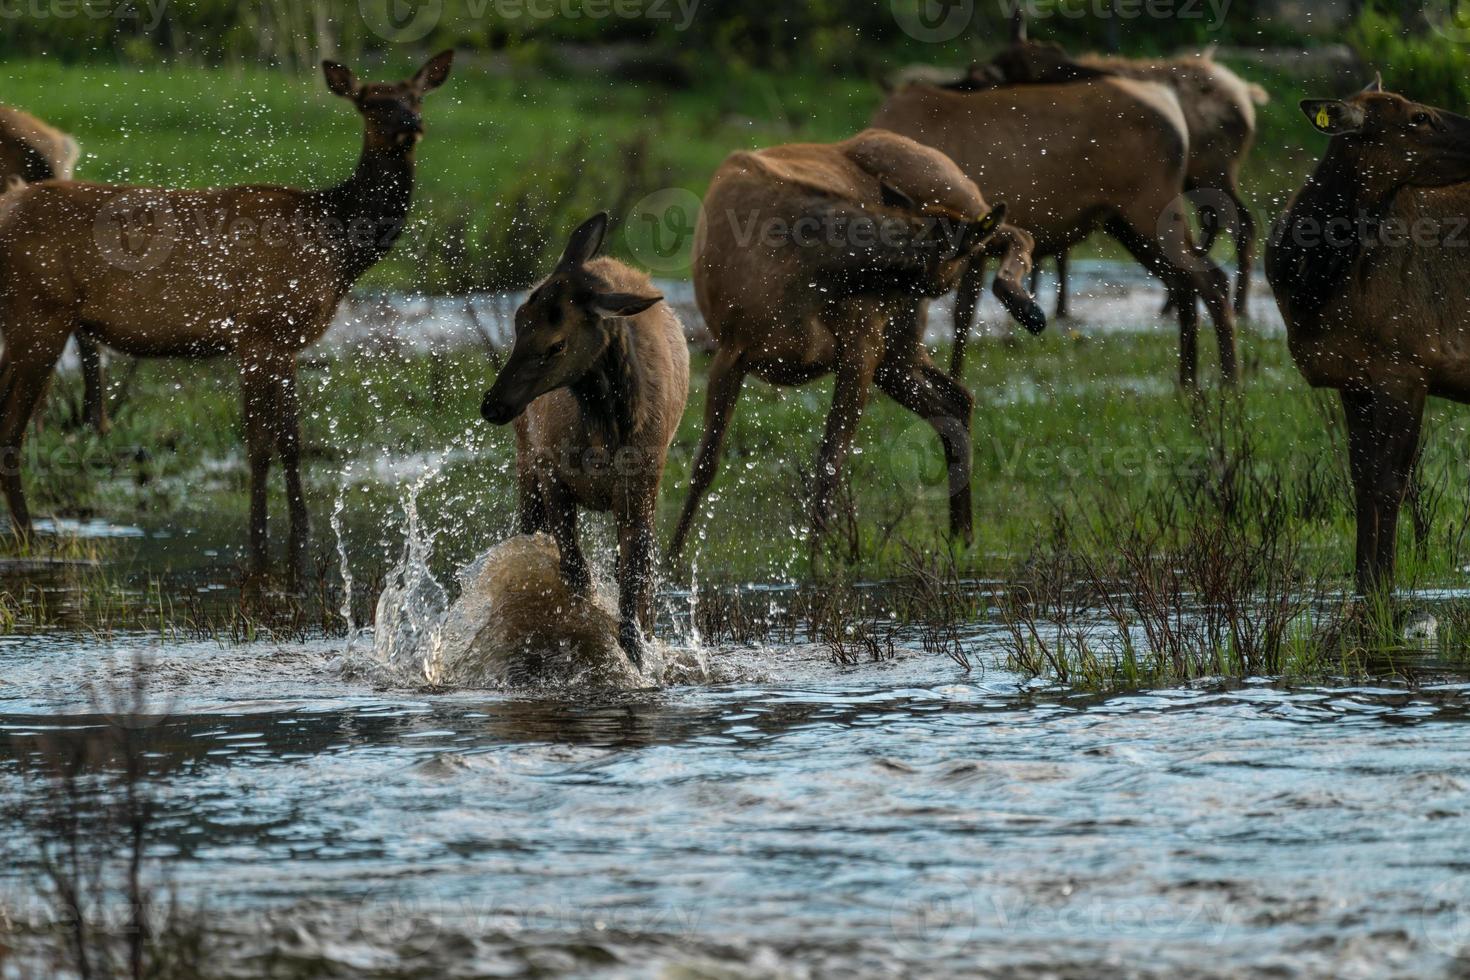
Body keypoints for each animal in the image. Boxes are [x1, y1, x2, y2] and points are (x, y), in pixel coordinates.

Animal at [0, 51, 452, 581]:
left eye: (416, 96)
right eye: (370, 102)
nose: (411, 126)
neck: (336, 242)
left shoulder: (287, 343)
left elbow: (292, 442)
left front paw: (302, 530)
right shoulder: (255, 330)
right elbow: (258, 446)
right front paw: (257, 538)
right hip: (41, 312)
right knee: (11, 430)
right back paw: (29, 539)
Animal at [479, 213, 690, 667]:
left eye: (556, 344)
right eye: (518, 320)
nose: (493, 405)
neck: (605, 433)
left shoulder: (641, 492)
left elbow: (634, 588)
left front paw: (636, 658)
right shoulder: (551, 473)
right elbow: (576, 572)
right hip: (526, 458)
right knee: (528, 529)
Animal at [667, 127, 1046, 564]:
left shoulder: (859, 347)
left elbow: (831, 460)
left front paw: (815, 560)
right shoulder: (731, 350)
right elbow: (704, 465)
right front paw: (670, 559)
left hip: (954, 201)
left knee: (1016, 231)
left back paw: (1025, 304)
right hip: (897, 350)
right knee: (956, 400)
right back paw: (961, 534)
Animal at [870, 71, 1240, 387]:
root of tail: (1173, 109)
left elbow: (954, 315)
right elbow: (960, 315)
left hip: (1150, 206)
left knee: (1209, 279)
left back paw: (1228, 382)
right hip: (1124, 223)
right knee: (1185, 283)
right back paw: (1188, 383)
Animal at [1258, 80, 1470, 593]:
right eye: (1418, 117)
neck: (1312, 285)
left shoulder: (1409, 364)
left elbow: (1391, 480)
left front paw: (1384, 584)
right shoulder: (1355, 378)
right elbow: (1362, 478)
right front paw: (1362, 581)